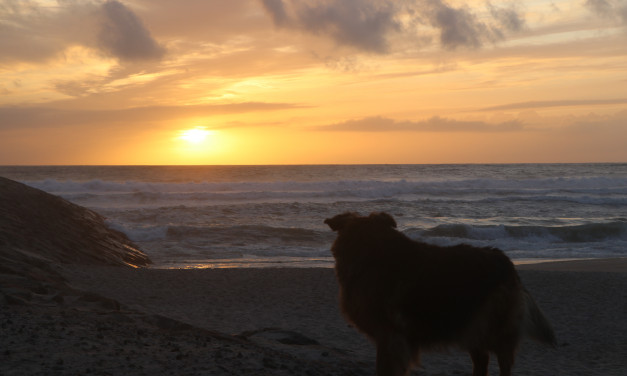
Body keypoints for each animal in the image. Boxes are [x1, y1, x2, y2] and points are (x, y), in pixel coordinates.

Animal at [326, 212, 556, 376]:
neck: (372, 252)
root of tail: (506, 261)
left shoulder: (390, 338)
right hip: (472, 326)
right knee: (482, 362)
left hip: (494, 330)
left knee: (502, 364)